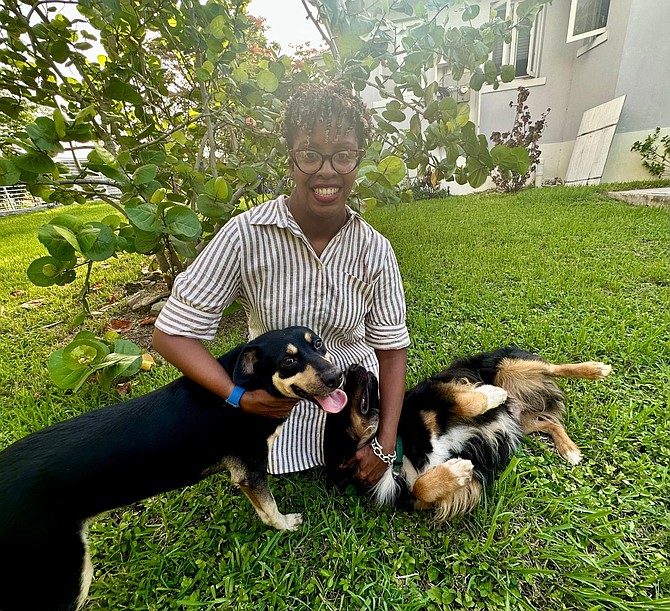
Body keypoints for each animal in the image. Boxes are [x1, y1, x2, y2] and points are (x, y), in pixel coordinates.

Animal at [0, 328, 346, 611]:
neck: (246, 385)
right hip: (64, 572)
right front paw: (285, 525)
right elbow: (270, 508)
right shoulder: (251, 469)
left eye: (317, 343)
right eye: (287, 362)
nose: (337, 376)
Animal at [326, 346, 616, 520]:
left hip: (508, 366)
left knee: (553, 367)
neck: (399, 449)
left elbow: (467, 401)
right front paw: (457, 471)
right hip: (524, 421)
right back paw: (570, 450)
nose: (351, 368)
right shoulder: (419, 499)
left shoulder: (434, 392)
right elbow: (422, 487)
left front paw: (493, 395)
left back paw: (596, 369)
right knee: (550, 422)